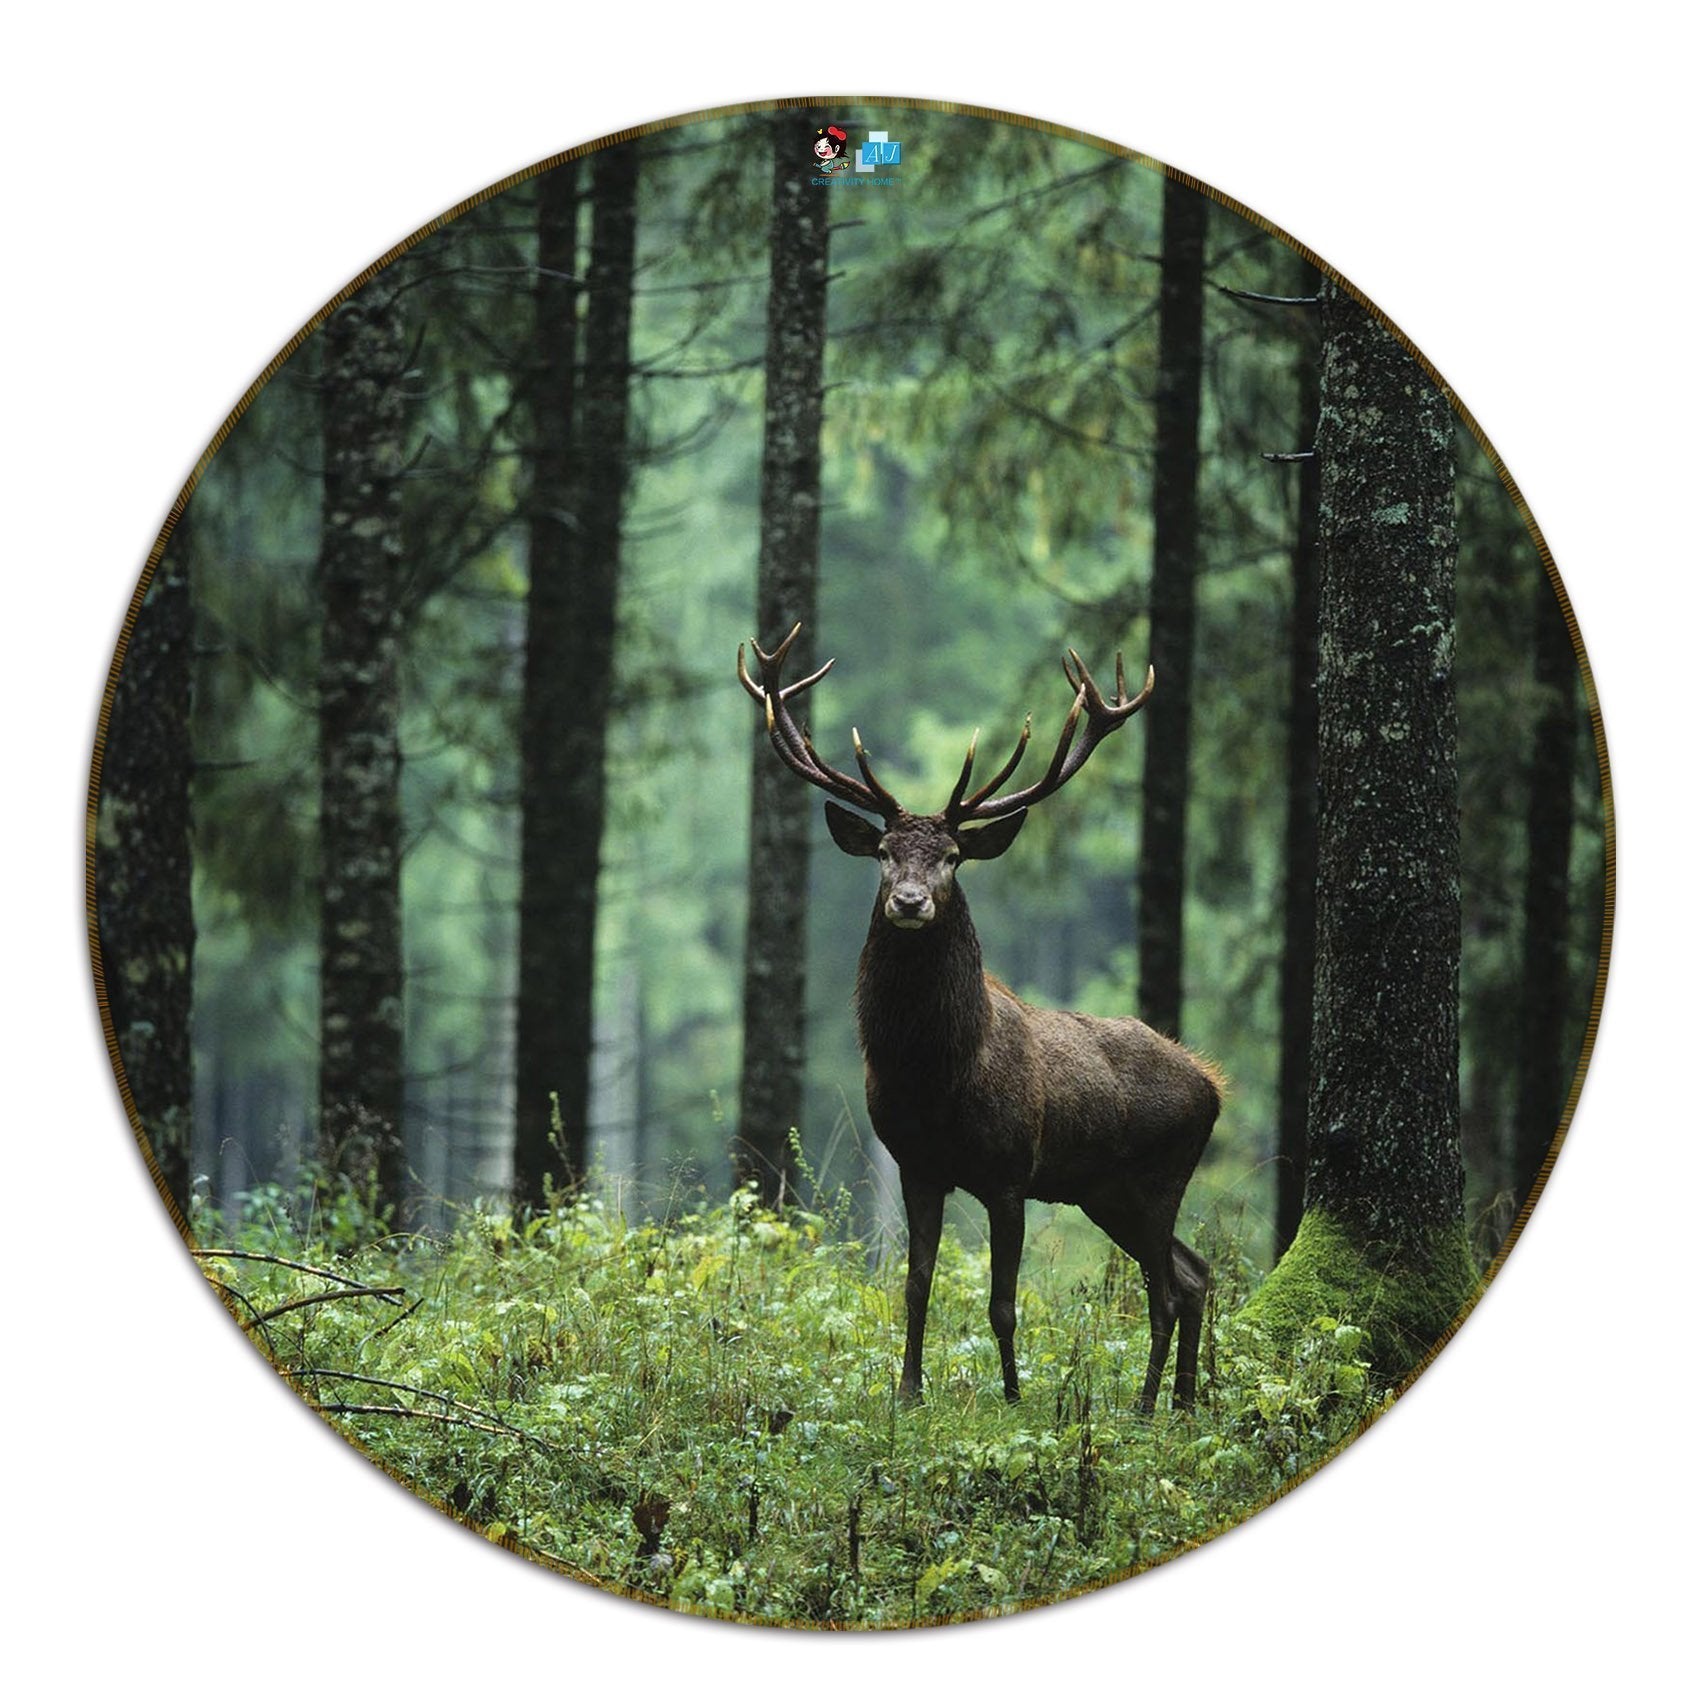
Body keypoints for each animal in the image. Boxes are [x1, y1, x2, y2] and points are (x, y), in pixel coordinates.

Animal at [737, 623, 1220, 1413]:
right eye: (882, 851)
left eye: (954, 856)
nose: (908, 901)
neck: (937, 1077)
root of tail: (1213, 1086)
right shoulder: (916, 1166)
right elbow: (915, 1285)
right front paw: (908, 1392)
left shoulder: (1009, 1172)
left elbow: (1003, 1303)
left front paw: (1015, 1398)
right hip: (1105, 1191)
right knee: (1194, 1273)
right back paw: (1179, 1403)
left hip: (1158, 1176)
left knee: (1169, 1288)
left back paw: (1148, 1407)